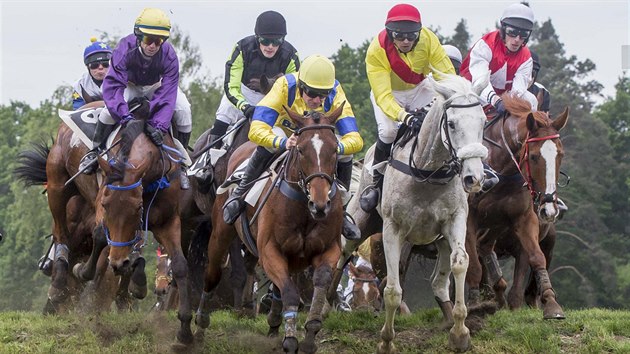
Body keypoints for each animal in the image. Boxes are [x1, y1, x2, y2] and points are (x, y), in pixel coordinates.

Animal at [196, 104, 348, 352]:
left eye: (335, 150)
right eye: (301, 150)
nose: (320, 204)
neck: (304, 209)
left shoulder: (328, 250)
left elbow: (320, 282)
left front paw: (309, 334)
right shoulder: (269, 251)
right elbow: (290, 293)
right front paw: (290, 339)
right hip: (221, 232)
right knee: (212, 274)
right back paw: (196, 327)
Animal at [354, 74, 492, 352]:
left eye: (483, 121)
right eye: (451, 123)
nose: (474, 178)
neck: (427, 172)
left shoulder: (455, 221)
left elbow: (460, 264)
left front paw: (460, 332)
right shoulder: (392, 229)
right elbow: (392, 290)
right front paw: (386, 341)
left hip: (438, 242)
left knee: (438, 282)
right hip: (361, 222)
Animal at [464, 94, 572, 320]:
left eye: (560, 154)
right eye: (533, 156)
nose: (548, 208)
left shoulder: (524, 218)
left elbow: (536, 258)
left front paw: (551, 303)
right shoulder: (468, 218)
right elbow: (473, 266)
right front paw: (475, 304)